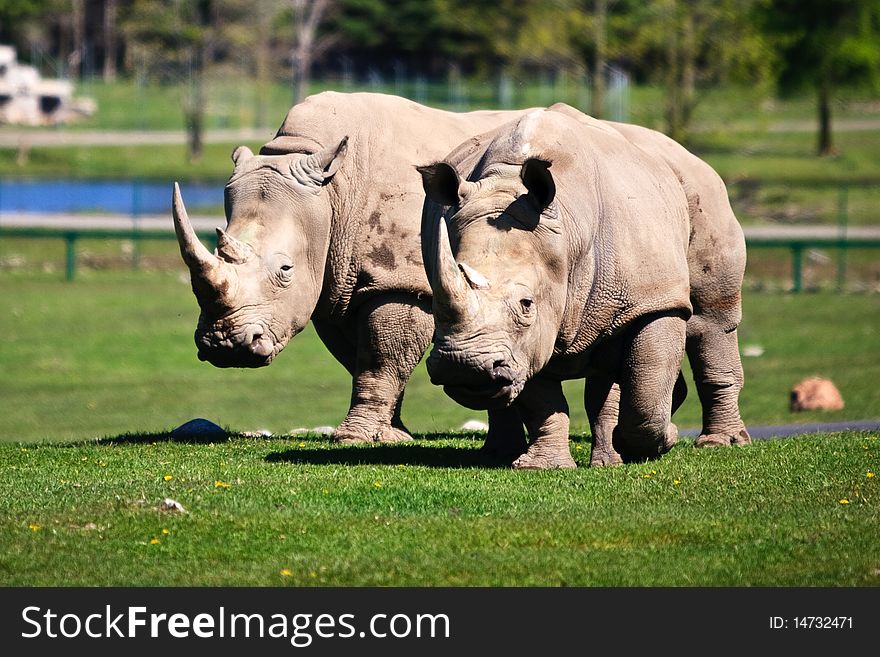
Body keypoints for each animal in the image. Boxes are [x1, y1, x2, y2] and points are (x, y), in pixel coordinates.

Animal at [170, 89, 536, 444]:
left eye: (286, 270)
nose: (225, 346)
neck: (332, 192)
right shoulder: (335, 282)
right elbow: (360, 358)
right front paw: (390, 434)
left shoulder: (401, 281)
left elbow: (381, 358)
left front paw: (354, 437)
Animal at [420, 106, 748, 466]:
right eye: (434, 304)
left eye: (526, 304)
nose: (463, 367)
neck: (567, 236)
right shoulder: (535, 331)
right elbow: (542, 397)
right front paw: (542, 467)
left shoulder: (653, 301)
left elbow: (646, 388)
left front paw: (658, 441)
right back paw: (501, 455)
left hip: (701, 192)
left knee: (709, 322)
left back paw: (720, 444)